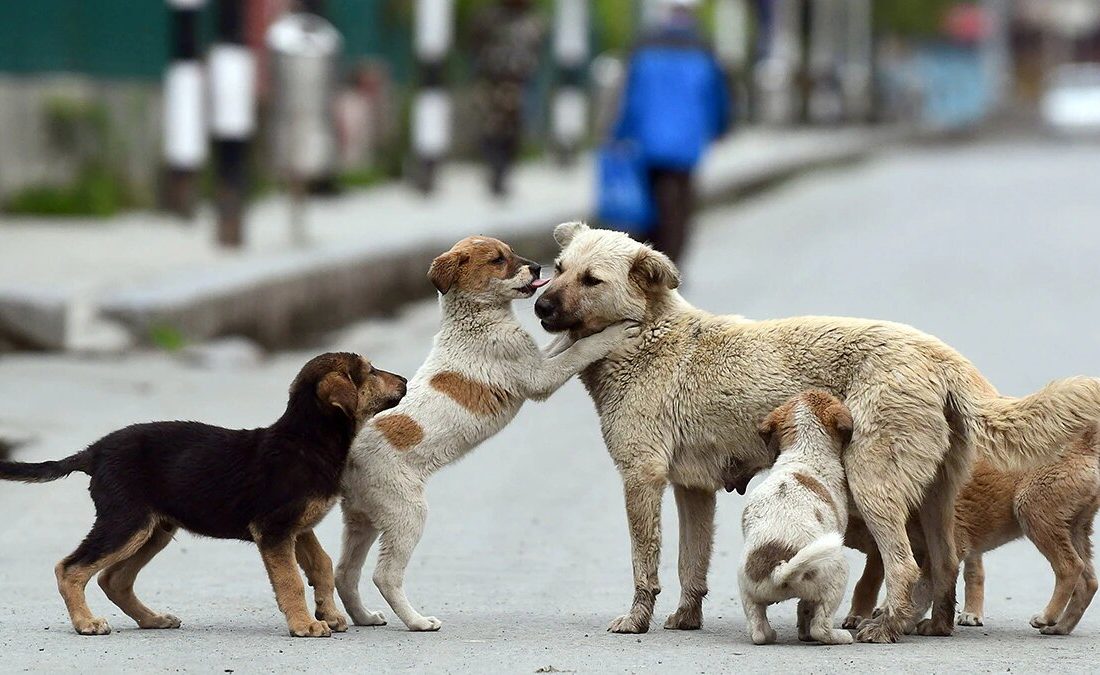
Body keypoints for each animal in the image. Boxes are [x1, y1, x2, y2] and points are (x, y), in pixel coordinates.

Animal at [0, 353, 407, 642]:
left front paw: (330, 614)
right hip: (126, 522)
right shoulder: (274, 530)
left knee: (113, 579)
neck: (307, 440)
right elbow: (290, 579)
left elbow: (321, 565)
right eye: (371, 371)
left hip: (154, 529)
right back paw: (86, 622)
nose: (404, 379)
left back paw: (152, 619)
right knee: (70, 568)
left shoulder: (297, 528)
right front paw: (305, 624)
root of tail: (95, 451)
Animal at [338, 235, 642, 633]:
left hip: (364, 518)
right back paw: (418, 622)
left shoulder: (536, 358)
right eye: (498, 260)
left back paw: (364, 617)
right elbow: (578, 350)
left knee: (344, 574)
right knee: (384, 575)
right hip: (406, 512)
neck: (476, 318)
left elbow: (563, 344)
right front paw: (615, 331)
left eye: (511, 252)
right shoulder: (538, 377)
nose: (538, 267)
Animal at [743, 393, 853, 646]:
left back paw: (769, 634)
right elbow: (807, 609)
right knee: (821, 627)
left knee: (758, 631)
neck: (805, 452)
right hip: (838, 576)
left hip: (747, 590)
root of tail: (779, 569)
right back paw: (839, 636)